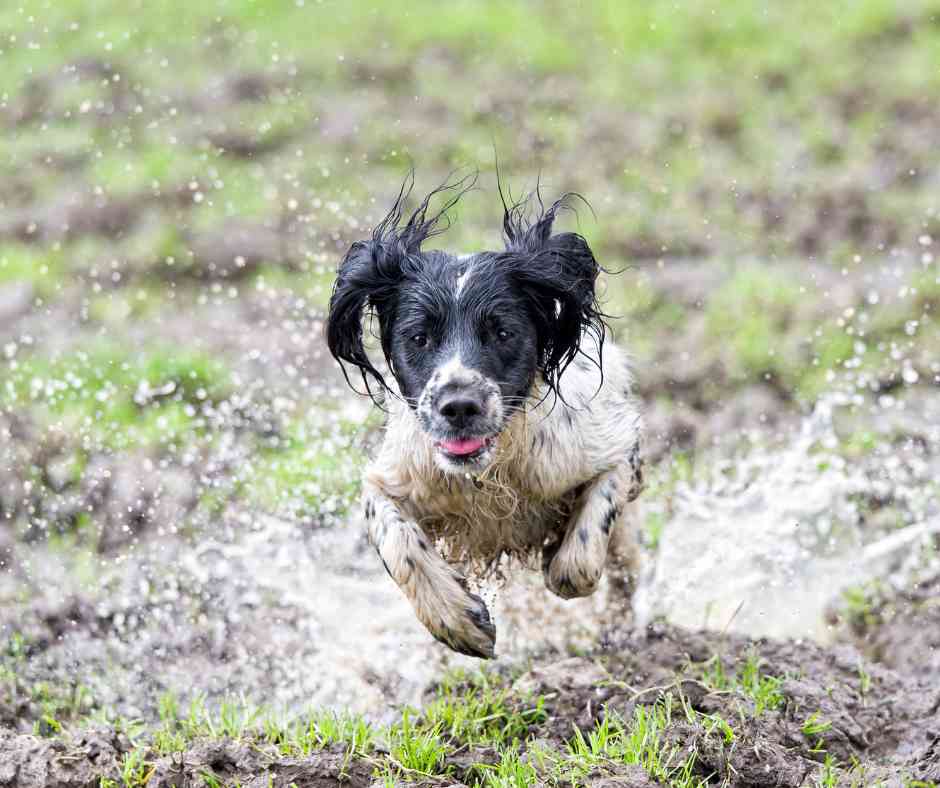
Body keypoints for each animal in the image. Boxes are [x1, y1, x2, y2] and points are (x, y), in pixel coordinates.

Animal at [326, 174, 644, 660]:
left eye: (503, 332)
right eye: (418, 337)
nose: (459, 406)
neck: (491, 473)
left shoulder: (614, 450)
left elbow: (581, 556)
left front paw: (559, 558)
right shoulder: (395, 478)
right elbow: (396, 540)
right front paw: (458, 620)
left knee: (625, 572)